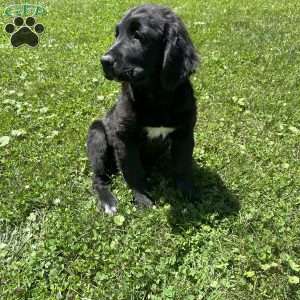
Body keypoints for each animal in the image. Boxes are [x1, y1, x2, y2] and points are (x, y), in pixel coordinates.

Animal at [86, 3, 199, 214]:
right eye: (117, 34)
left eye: (138, 35)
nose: (104, 61)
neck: (156, 96)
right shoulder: (124, 137)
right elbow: (134, 171)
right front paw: (142, 198)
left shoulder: (184, 134)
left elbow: (182, 167)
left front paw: (188, 193)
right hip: (97, 135)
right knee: (98, 177)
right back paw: (108, 201)